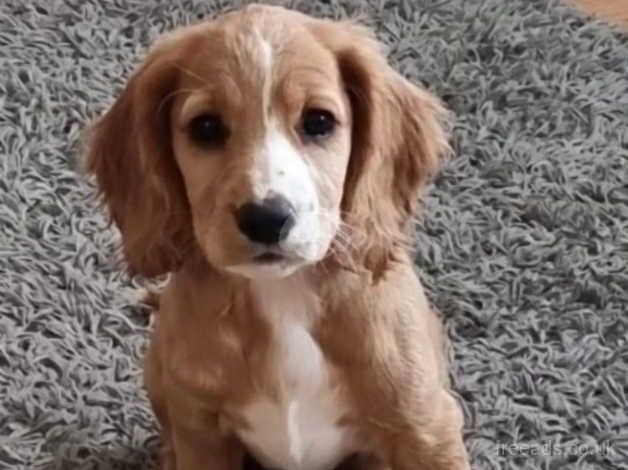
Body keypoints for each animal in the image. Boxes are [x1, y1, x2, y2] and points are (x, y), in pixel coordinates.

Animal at [88, 4, 472, 470]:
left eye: (319, 121)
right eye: (206, 127)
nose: (266, 219)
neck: (284, 295)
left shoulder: (425, 426)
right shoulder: (201, 432)